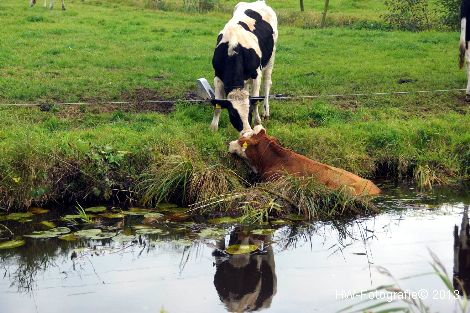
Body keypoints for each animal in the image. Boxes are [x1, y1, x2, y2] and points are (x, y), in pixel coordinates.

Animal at [211, 0, 278, 134]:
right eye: (233, 114)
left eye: (249, 113)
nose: (247, 132)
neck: (233, 47)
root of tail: (259, 2)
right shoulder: (217, 76)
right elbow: (217, 106)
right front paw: (213, 128)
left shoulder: (256, 75)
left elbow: (255, 101)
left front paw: (258, 123)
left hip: (271, 58)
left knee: (267, 84)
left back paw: (265, 113)